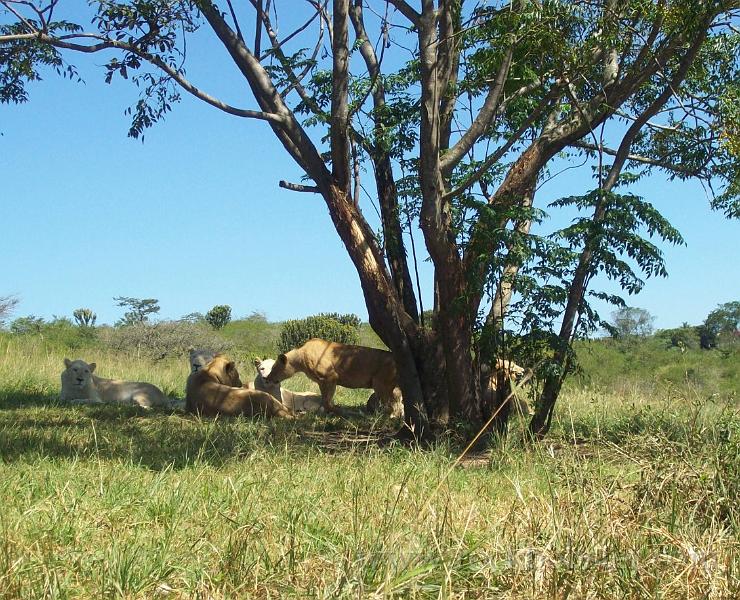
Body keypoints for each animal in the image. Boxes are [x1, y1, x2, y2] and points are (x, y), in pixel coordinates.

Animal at [264, 338, 402, 418]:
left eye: (274, 368)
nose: (267, 378)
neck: (300, 356)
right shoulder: (321, 382)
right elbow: (324, 401)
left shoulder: (330, 377)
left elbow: (327, 401)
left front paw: (342, 412)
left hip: (380, 384)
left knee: (390, 406)